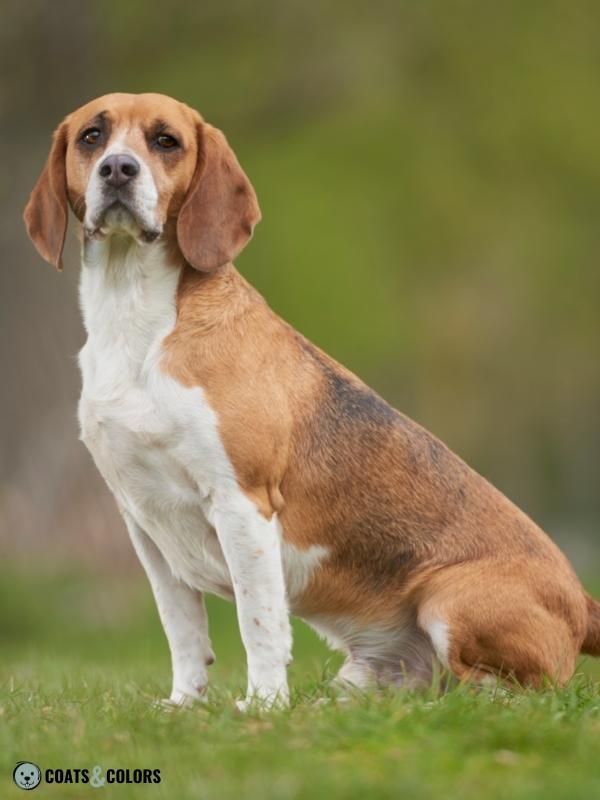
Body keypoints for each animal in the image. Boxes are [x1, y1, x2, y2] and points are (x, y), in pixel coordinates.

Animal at [24, 92, 600, 708]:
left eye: (165, 141)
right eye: (92, 136)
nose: (117, 169)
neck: (134, 317)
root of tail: (581, 599)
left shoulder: (242, 503)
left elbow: (258, 623)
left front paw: (262, 707)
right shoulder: (142, 521)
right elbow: (182, 630)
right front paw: (184, 705)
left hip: (450, 597)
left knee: (502, 693)